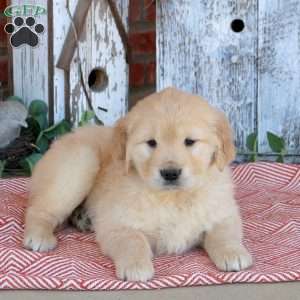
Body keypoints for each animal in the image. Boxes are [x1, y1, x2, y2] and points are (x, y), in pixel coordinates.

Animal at [24, 86, 253, 282]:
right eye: (151, 143)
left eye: (190, 141)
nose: (170, 173)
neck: (172, 198)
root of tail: (62, 139)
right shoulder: (115, 222)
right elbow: (133, 240)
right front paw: (136, 266)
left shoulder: (222, 211)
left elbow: (225, 233)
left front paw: (233, 252)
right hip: (79, 162)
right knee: (39, 209)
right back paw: (39, 235)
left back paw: (82, 218)